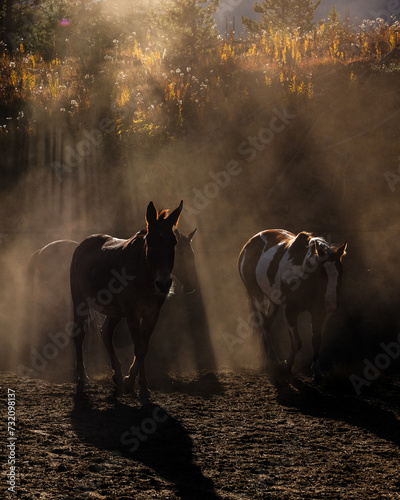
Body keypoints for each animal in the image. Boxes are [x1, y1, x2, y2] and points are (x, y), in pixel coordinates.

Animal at [70, 200, 188, 398]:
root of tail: (82, 245)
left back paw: (117, 374)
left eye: (173, 241)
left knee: (105, 332)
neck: (144, 274)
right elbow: (138, 347)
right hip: (80, 301)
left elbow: (144, 348)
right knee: (79, 334)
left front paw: (130, 380)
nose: (163, 284)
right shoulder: (133, 314)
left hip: (115, 311)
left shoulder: (152, 315)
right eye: (150, 242)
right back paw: (82, 375)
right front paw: (143, 387)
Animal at [238, 229, 346, 378]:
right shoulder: (290, 311)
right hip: (255, 294)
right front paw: (287, 365)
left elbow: (316, 340)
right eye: (322, 273)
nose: (332, 304)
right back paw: (270, 357)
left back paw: (266, 355)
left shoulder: (319, 311)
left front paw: (317, 371)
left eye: (340, 272)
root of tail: (249, 243)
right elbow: (296, 342)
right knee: (262, 324)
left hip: (274, 301)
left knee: (267, 324)